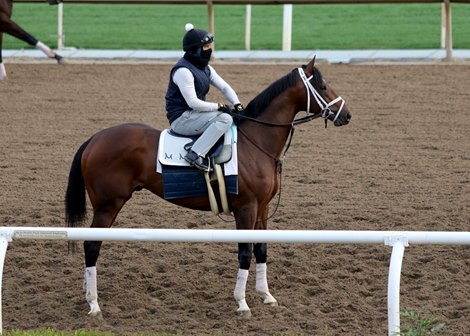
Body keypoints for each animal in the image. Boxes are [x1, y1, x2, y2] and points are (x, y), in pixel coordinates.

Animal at [66, 57, 352, 318]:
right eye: (323, 85)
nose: (347, 114)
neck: (255, 142)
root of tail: (95, 138)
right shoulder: (246, 208)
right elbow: (245, 252)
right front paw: (242, 303)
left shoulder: (262, 208)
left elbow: (261, 249)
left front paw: (266, 295)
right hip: (107, 205)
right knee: (91, 245)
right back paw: (94, 303)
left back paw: (87, 294)